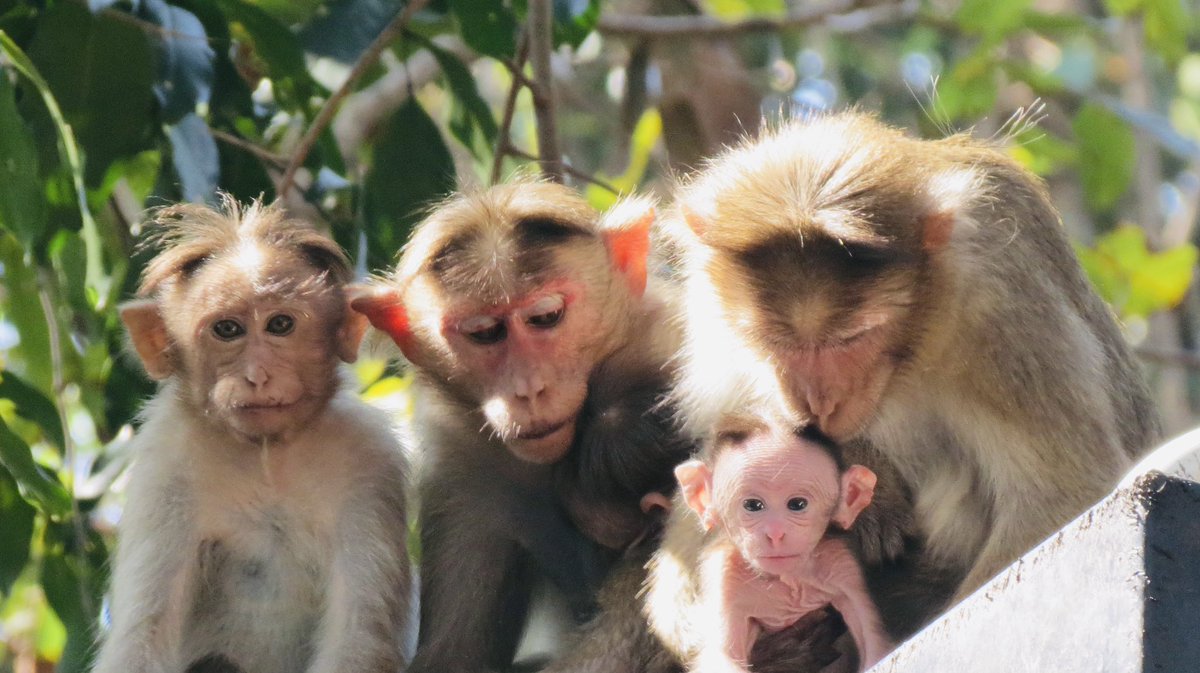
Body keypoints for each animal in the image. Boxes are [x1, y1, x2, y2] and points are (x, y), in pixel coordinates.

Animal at [92, 197, 411, 673]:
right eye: (228, 330)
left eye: (280, 325)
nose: (257, 375)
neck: (266, 456)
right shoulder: (166, 466)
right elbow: (142, 636)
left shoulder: (369, 462)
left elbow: (360, 636)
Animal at [671, 419, 893, 673]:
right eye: (752, 505)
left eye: (797, 504)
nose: (775, 533)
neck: (787, 579)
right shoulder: (725, 574)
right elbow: (723, 655)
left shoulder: (838, 561)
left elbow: (870, 632)